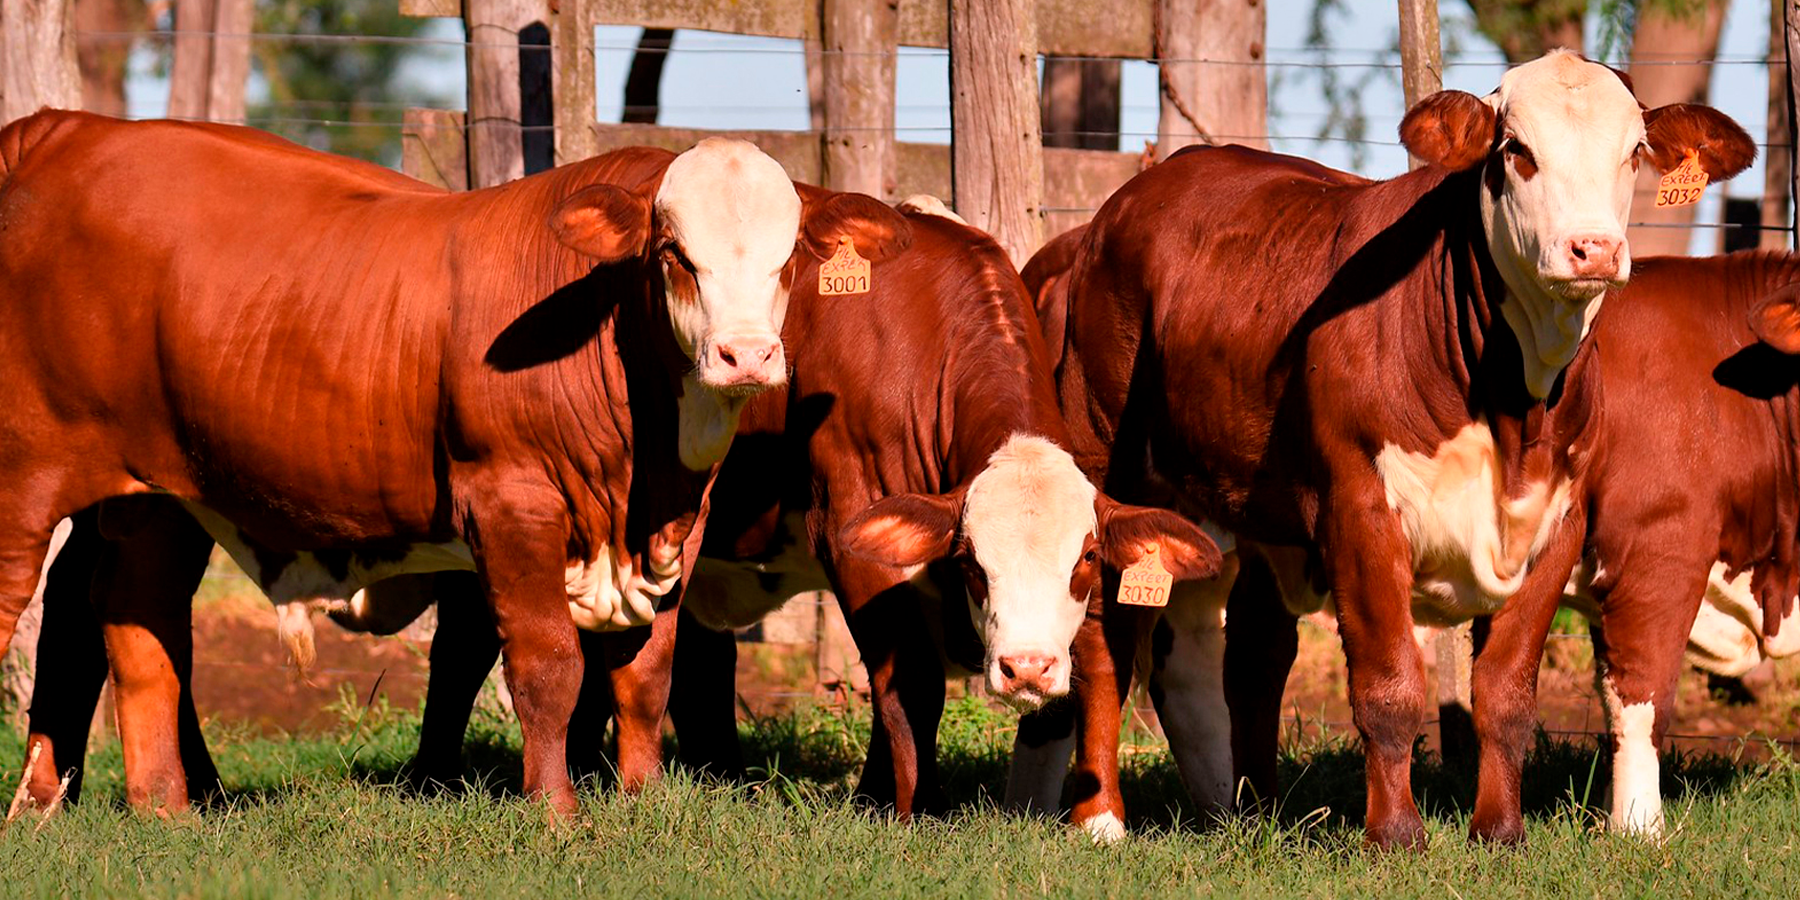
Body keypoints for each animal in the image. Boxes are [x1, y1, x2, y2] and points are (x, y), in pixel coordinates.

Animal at [0, 108, 907, 813]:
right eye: (675, 253)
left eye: (788, 259)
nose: (745, 356)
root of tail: (66, 128)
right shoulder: (511, 505)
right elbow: (546, 667)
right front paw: (557, 814)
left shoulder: (676, 528)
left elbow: (647, 672)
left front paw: (644, 802)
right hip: (27, 477)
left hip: (155, 496)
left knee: (129, 616)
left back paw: (160, 807)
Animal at [1022, 52, 1749, 846]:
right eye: (1515, 150)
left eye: (1635, 152)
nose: (1595, 249)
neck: (1513, 407)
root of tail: (1135, 195)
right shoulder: (1359, 508)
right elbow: (1391, 687)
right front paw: (1396, 835)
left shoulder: (1560, 520)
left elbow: (1505, 692)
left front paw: (1500, 831)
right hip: (1110, 462)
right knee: (1105, 642)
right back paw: (1101, 820)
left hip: (1255, 504)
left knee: (1248, 655)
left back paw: (1249, 812)